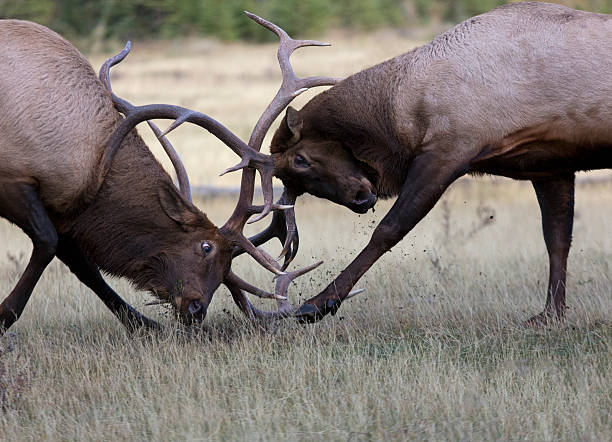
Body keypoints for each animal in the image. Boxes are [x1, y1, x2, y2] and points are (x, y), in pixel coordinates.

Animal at [0, 12, 340, 332]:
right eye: (206, 246)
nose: (197, 308)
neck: (93, 167)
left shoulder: (63, 211)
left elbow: (82, 265)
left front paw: (144, 325)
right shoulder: (15, 179)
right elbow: (48, 243)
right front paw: (4, 315)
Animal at [268, 2, 612, 324]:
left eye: (300, 159)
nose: (360, 198)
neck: (401, 115)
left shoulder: (449, 151)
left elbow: (388, 230)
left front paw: (318, 303)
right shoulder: (550, 164)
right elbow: (557, 239)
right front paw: (551, 314)